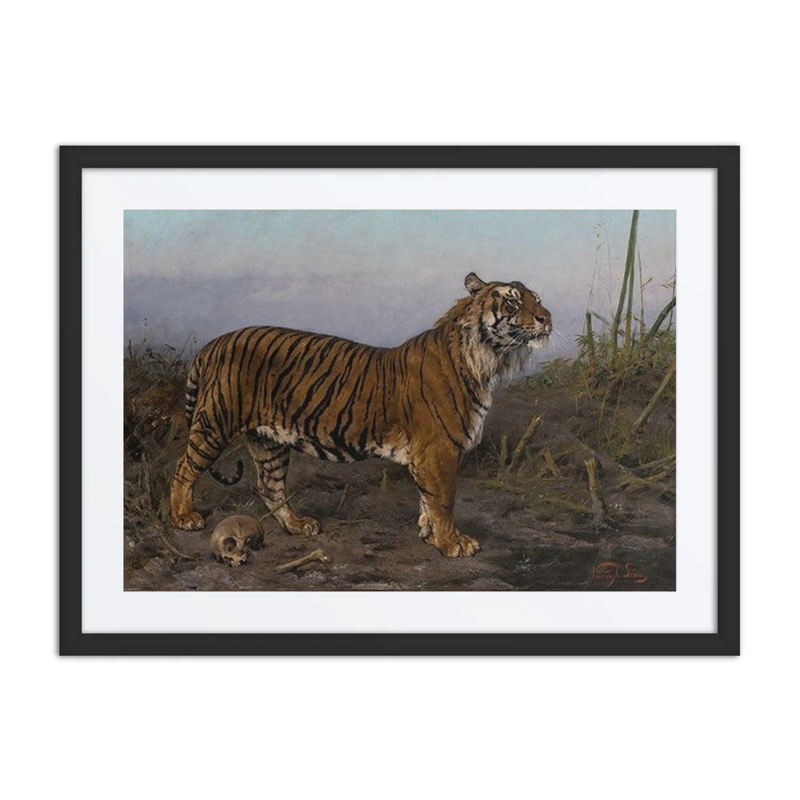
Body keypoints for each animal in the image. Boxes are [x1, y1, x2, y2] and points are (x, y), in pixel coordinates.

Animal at [170, 272, 552, 557]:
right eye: (513, 300)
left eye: (538, 298)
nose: (547, 318)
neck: (488, 360)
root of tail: (215, 342)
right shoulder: (438, 449)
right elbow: (443, 500)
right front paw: (452, 543)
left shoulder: (428, 454)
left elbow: (427, 500)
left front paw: (430, 536)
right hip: (215, 423)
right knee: (183, 469)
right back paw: (183, 517)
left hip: (269, 441)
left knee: (269, 486)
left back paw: (298, 525)